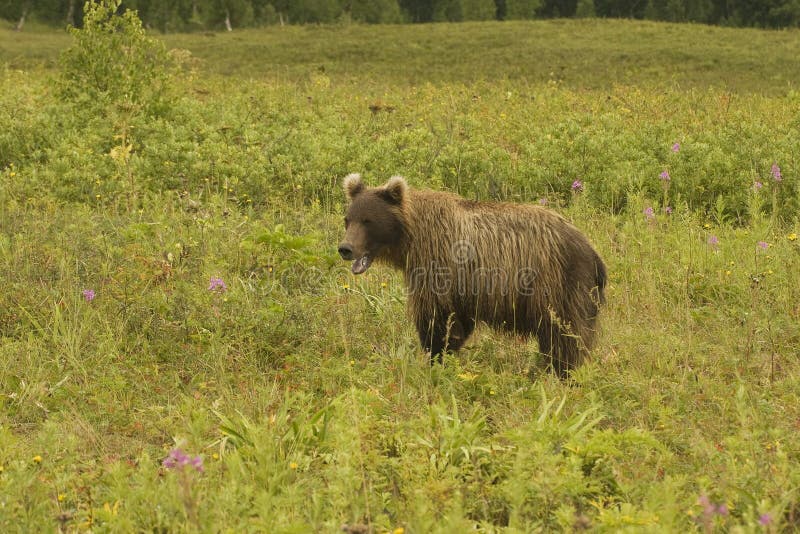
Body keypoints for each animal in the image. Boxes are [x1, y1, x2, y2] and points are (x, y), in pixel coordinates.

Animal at [338, 175, 608, 376]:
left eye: (368, 220)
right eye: (348, 219)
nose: (345, 248)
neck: (412, 239)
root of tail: (592, 250)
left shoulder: (437, 266)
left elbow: (436, 319)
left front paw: (436, 356)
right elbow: (456, 321)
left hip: (560, 283)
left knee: (565, 335)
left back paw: (561, 373)